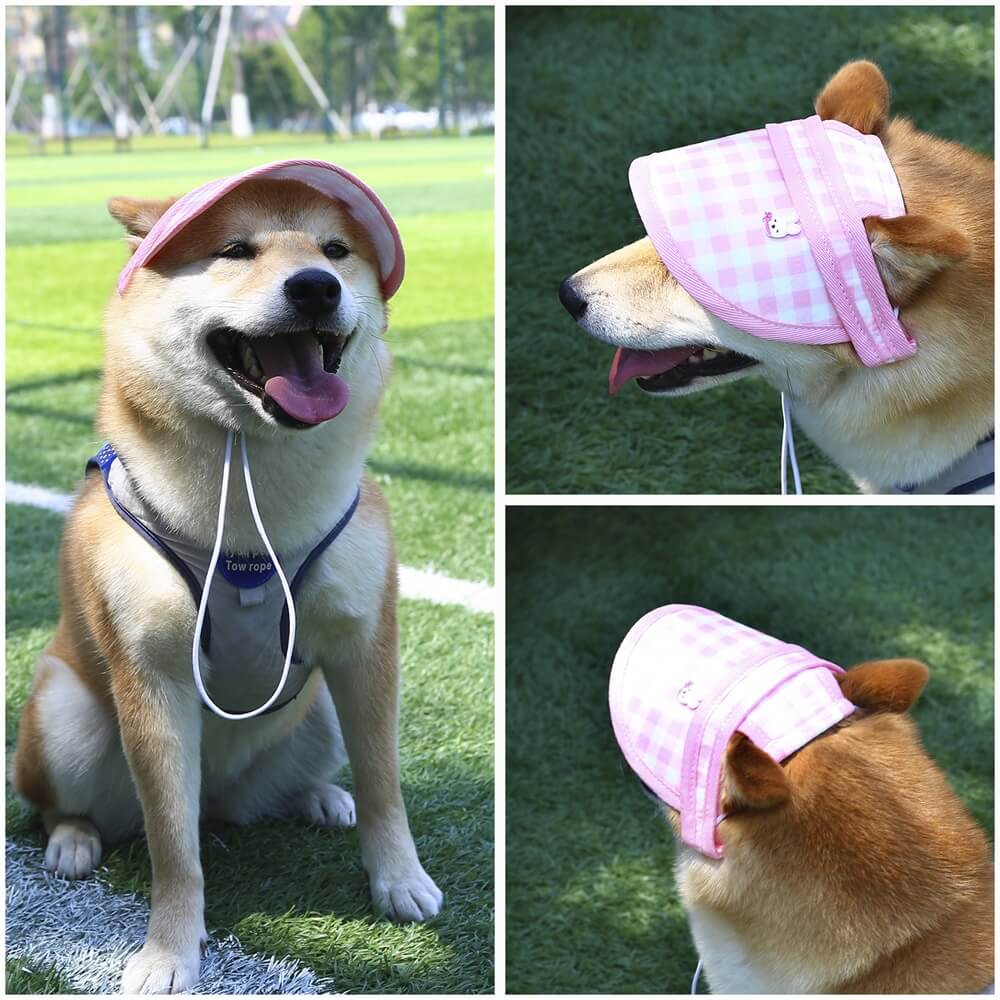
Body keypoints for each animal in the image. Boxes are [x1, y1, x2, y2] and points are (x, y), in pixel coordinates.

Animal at [11, 162, 442, 992]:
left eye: (335, 251)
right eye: (237, 249)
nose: (315, 288)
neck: (248, 521)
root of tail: (221, 793)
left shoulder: (365, 648)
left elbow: (385, 782)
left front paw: (398, 877)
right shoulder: (153, 675)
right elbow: (172, 846)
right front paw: (170, 952)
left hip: (319, 709)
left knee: (286, 786)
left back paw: (318, 796)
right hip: (63, 713)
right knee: (69, 805)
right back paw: (72, 839)